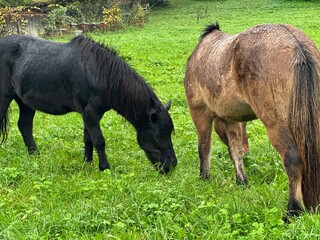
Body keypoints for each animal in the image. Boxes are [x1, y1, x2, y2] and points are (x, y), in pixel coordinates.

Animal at [0, 34, 178, 172]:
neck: (100, 74)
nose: (172, 164)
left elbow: (88, 139)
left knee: (24, 126)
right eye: (159, 135)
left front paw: (87, 163)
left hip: (25, 103)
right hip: (5, 98)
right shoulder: (91, 114)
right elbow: (99, 141)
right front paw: (104, 167)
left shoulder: (90, 114)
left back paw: (35, 155)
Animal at [184, 23, 320, 217]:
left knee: (292, 160)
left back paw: (292, 210)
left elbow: (204, 148)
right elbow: (235, 151)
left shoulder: (200, 113)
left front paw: (204, 177)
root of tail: (296, 44)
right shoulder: (230, 119)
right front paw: (241, 181)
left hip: (275, 125)